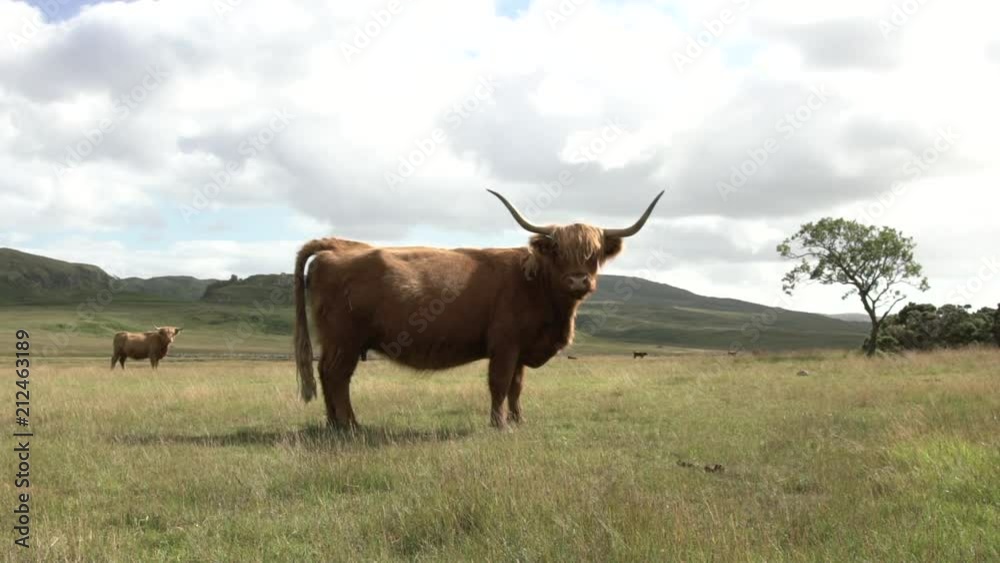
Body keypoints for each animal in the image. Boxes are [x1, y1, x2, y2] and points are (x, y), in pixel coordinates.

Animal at [293, 189, 663, 429]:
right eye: (558, 252)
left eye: (594, 254)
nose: (577, 281)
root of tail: (337, 246)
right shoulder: (505, 343)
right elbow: (499, 383)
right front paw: (499, 424)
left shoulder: (521, 348)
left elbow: (516, 385)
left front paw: (518, 420)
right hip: (345, 340)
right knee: (337, 377)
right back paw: (350, 426)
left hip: (338, 342)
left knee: (328, 375)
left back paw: (335, 425)